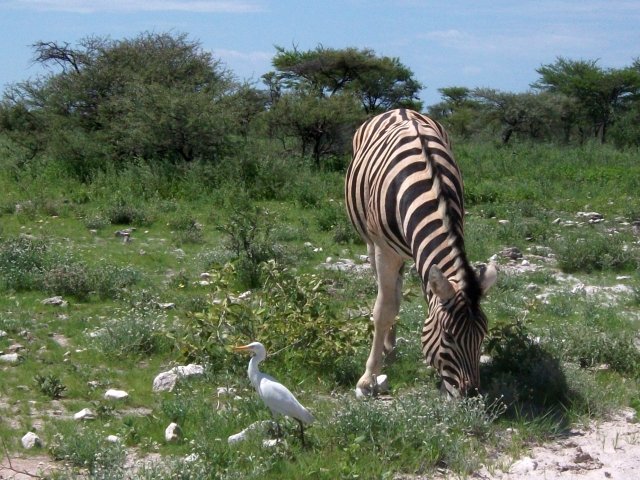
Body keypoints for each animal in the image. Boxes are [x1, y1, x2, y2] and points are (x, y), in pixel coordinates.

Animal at [344, 109, 496, 398]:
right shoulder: (384, 251)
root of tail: (399, 109)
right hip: (372, 242)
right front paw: (368, 378)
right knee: (387, 294)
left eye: (483, 334)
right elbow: (383, 309)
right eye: (448, 336)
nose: (471, 394)